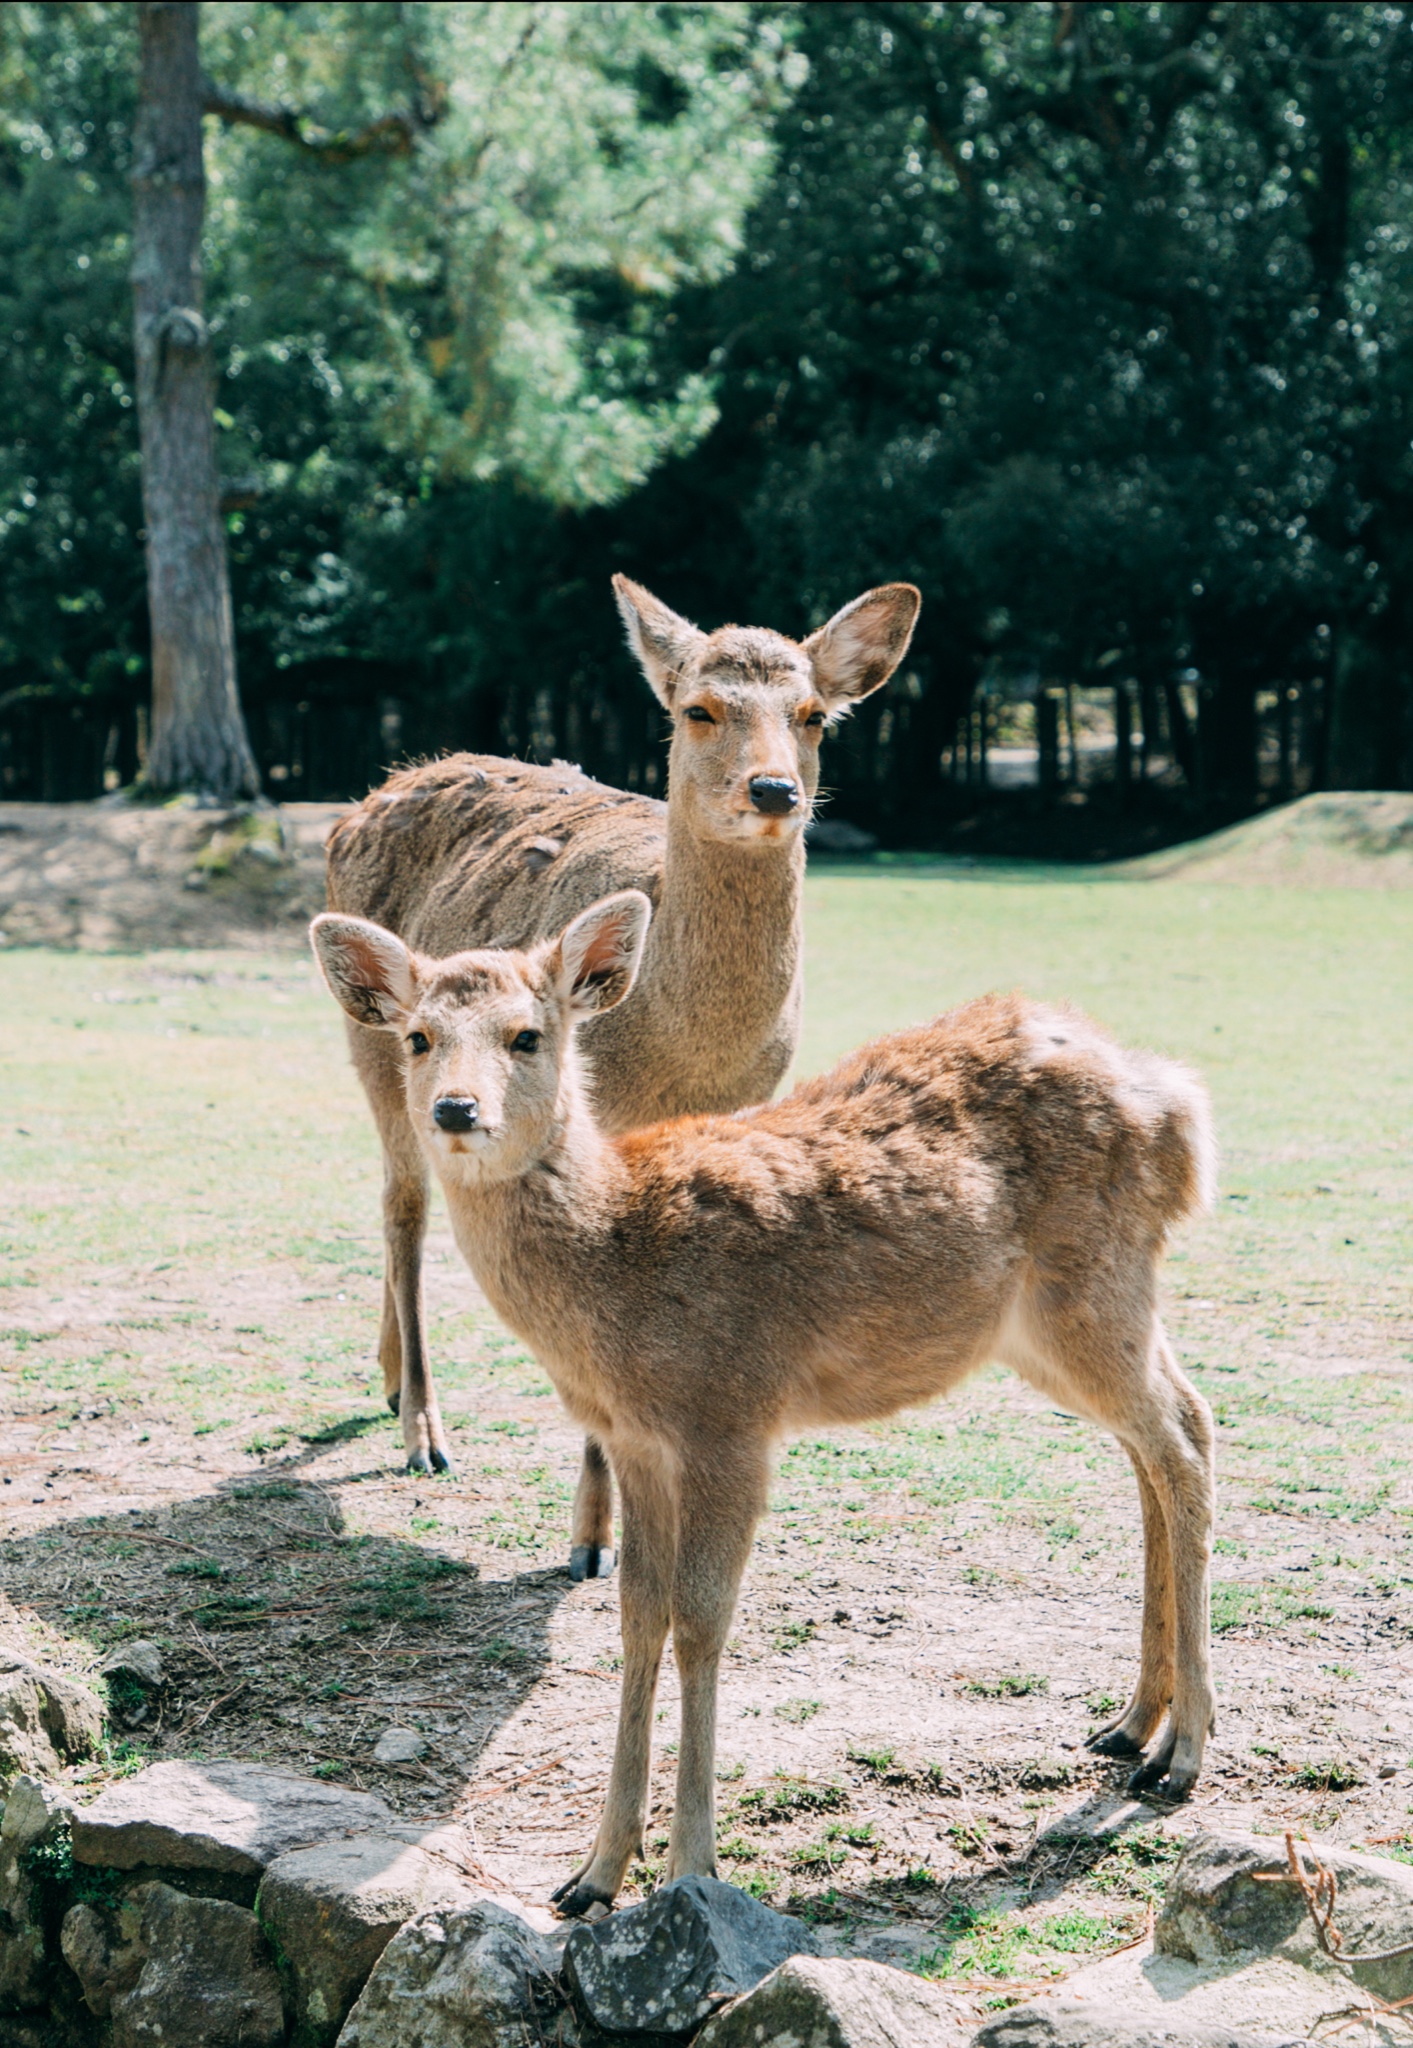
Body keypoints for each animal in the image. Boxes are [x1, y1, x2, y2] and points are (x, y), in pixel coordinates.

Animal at [313, 897, 1212, 1916]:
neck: (615, 1257)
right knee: (1159, 1440)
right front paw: (591, 1875)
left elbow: (702, 1619)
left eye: (526, 1035)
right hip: (1059, 1324)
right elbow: (638, 1613)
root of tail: (1182, 1108)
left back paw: (1178, 1756)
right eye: (418, 1036)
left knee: (1184, 1436)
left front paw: (690, 1871)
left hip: (1090, 1289)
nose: (456, 1110)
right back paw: (1128, 1723)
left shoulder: (730, 1416)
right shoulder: (634, 1440)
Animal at [321, 569, 913, 1572]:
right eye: (697, 708)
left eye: (815, 715)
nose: (774, 790)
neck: (682, 1052)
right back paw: (424, 1432)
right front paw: (589, 1541)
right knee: (402, 1202)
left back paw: (390, 1379)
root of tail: (376, 789)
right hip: (373, 1047)